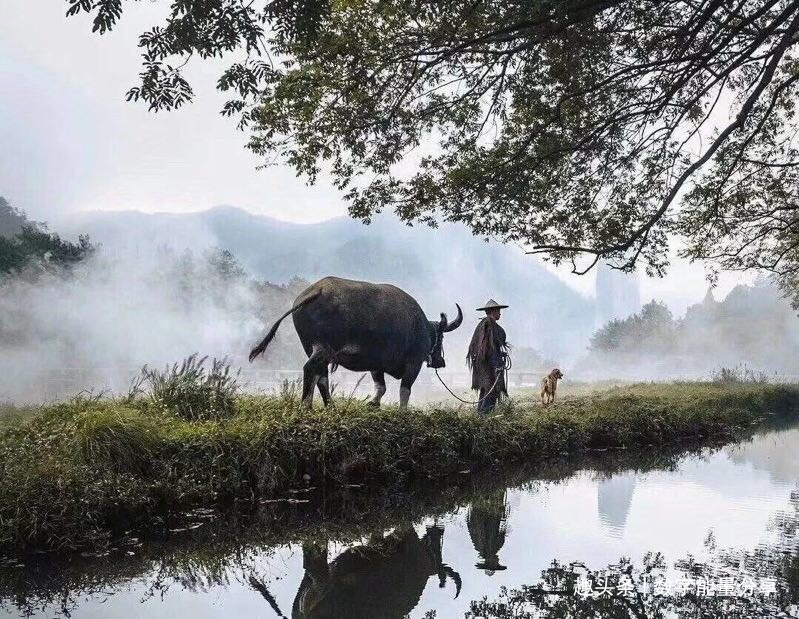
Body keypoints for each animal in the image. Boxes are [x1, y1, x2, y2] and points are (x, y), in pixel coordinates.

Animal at [248, 276, 462, 406]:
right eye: (441, 337)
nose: (440, 361)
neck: (421, 327)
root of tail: (317, 290)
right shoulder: (413, 363)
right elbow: (405, 390)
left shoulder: (377, 365)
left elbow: (381, 387)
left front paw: (373, 403)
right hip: (323, 349)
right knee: (311, 370)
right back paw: (306, 406)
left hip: (313, 349)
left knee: (321, 376)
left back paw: (330, 406)